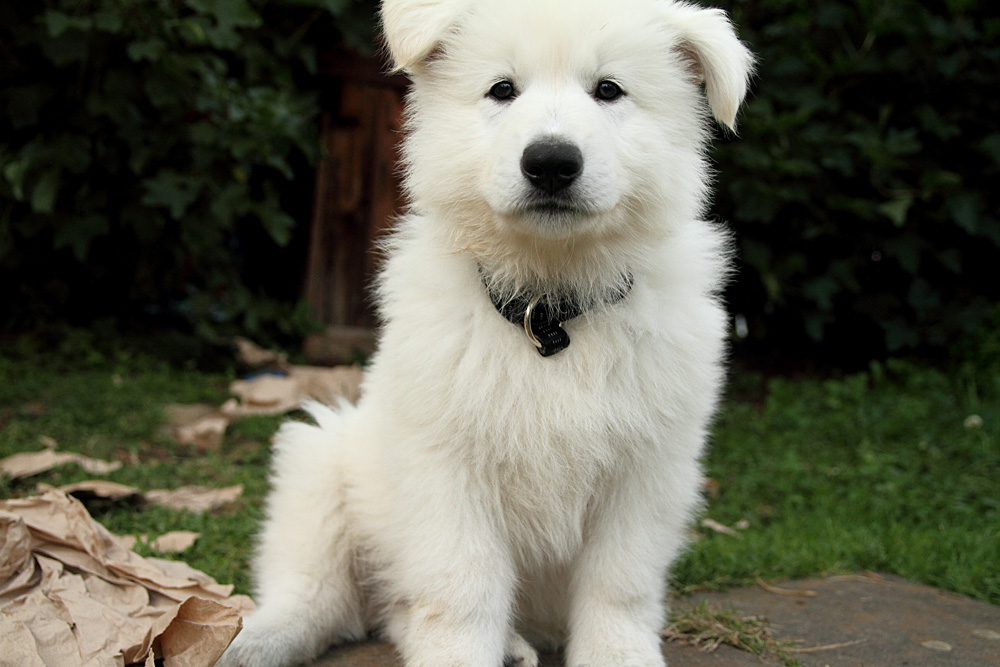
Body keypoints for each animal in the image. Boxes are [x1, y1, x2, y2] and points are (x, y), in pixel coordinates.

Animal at [218, 1, 752, 665]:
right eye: (502, 89)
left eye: (608, 90)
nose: (550, 162)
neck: (548, 314)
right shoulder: (446, 470)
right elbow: (461, 586)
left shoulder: (647, 470)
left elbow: (619, 585)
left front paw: (617, 654)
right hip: (318, 466)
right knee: (319, 591)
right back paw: (255, 639)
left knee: (394, 608)